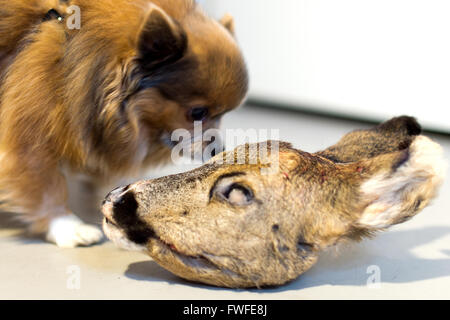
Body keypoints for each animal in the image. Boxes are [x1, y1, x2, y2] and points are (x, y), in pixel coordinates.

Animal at [0, 0, 250, 248]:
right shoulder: (29, 136)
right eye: (197, 113)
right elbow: (46, 185)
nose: (219, 150)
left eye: (224, 114)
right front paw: (67, 226)